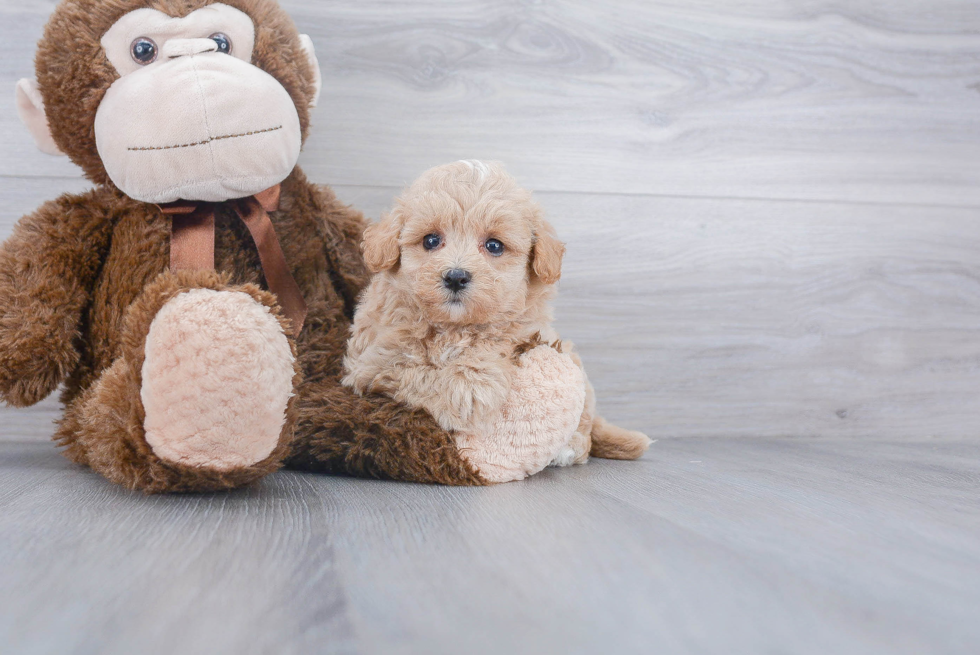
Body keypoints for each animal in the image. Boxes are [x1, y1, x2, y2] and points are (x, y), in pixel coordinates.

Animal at [344, 161, 652, 480]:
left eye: (494, 246)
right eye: (430, 240)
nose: (456, 276)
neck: (454, 327)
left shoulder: (529, 328)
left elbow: (497, 337)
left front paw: (475, 375)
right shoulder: (371, 363)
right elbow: (413, 368)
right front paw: (466, 391)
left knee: (587, 425)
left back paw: (570, 448)